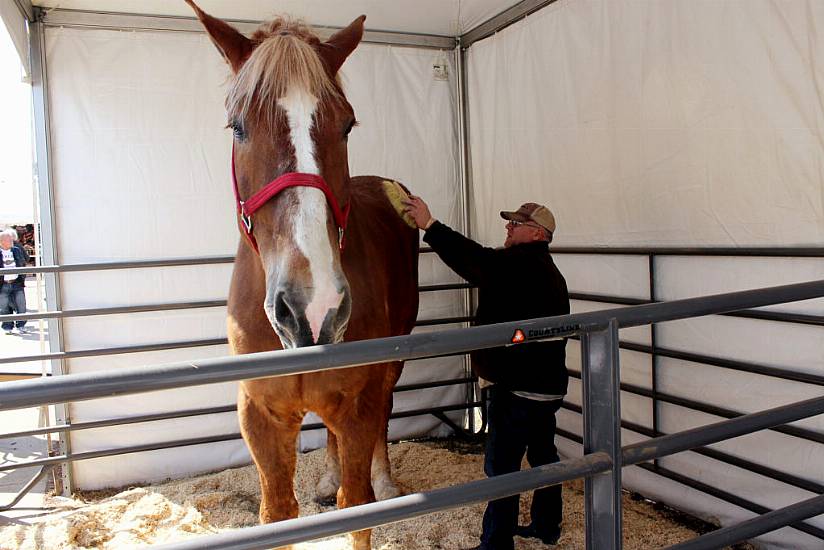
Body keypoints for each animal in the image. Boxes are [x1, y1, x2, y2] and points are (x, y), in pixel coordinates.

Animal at [186, 2, 418, 548]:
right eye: (237, 127)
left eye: (348, 125)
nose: (314, 309)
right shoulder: (262, 417)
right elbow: (277, 514)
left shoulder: (358, 405)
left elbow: (357, 508)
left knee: (386, 412)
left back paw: (385, 478)